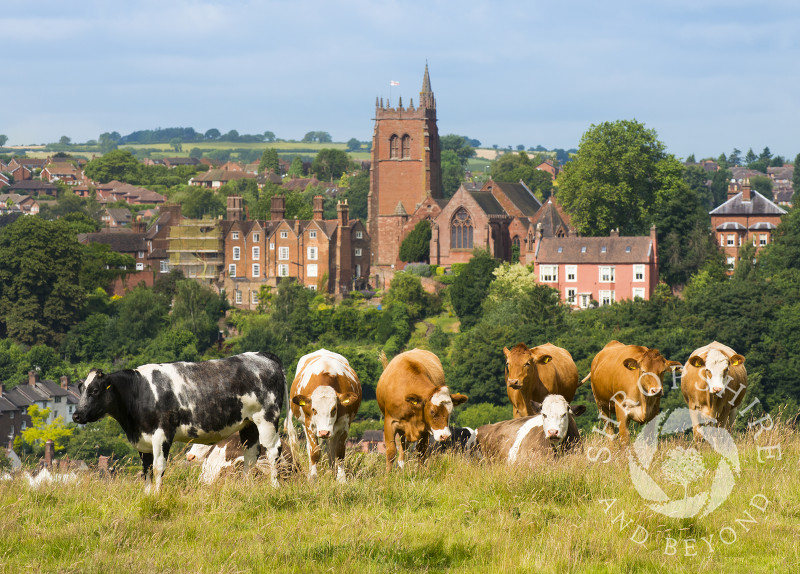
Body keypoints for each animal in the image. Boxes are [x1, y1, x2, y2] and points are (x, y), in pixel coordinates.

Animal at [72, 354, 288, 492]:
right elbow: (146, 470)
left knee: (273, 450)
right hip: (249, 424)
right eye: (81, 389)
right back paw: (246, 487)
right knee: (251, 455)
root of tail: (262, 356)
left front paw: (157, 495)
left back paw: (275, 486)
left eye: (95, 391)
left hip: (267, 418)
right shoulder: (143, 441)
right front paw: (147, 495)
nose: (76, 416)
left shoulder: (162, 434)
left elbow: (158, 468)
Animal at [286, 348, 360, 484]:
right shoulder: (309, 424)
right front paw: (313, 478)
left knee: (331, 449)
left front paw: (341, 479)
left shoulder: (344, 425)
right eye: (314, 409)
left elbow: (339, 452)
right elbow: (314, 452)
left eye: (334, 409)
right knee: (311, 448)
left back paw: (331, 472)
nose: (324, 432)